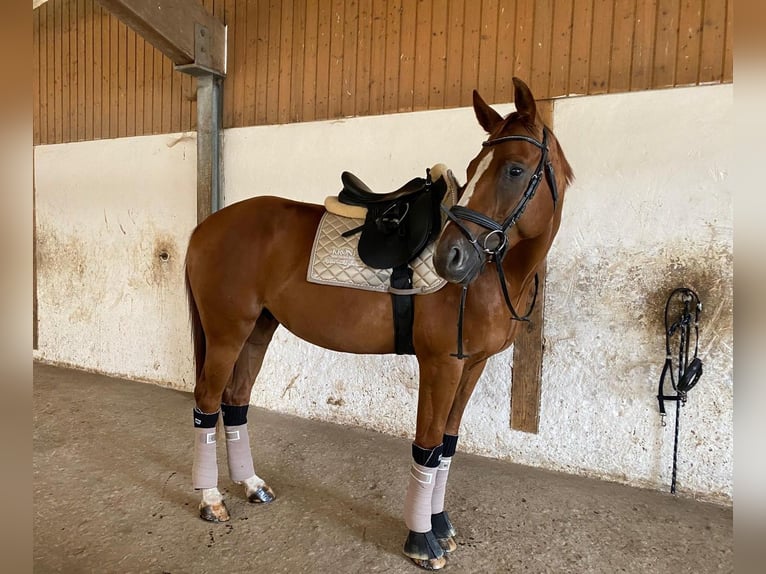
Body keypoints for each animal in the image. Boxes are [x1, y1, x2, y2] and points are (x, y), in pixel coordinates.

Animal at [184, 77, 568, 572]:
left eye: (515, 170)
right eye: (475, 167)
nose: (450, 259)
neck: (488, 278)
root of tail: (206, 227)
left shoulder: (472, 365)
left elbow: (448, 444)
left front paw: (441, 526)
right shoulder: (441, 365)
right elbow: (428, 446)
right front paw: (422, 540)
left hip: (257, 331)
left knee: (235, 402)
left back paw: (251, 485)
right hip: (227, 333)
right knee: (207, 402)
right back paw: (211, 499)